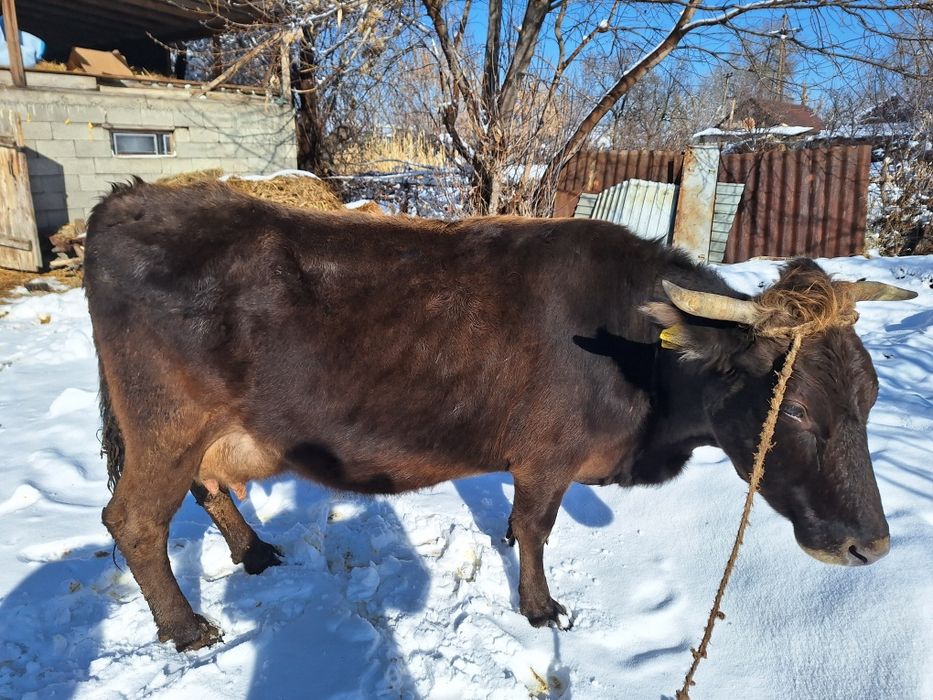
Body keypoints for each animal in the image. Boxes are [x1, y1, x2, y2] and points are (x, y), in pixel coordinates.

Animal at [83, 180, 915, 651]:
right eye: (796, 409)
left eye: (871, 396)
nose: (871, 546)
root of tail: (130, 198)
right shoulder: (547, 453)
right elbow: (537, 528)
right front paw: (541, 610)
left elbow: (521, 526)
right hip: (165, 422)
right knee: (134, 520)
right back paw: (186, 629)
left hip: (205, 432)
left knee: (208, 488)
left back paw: (255, 553)